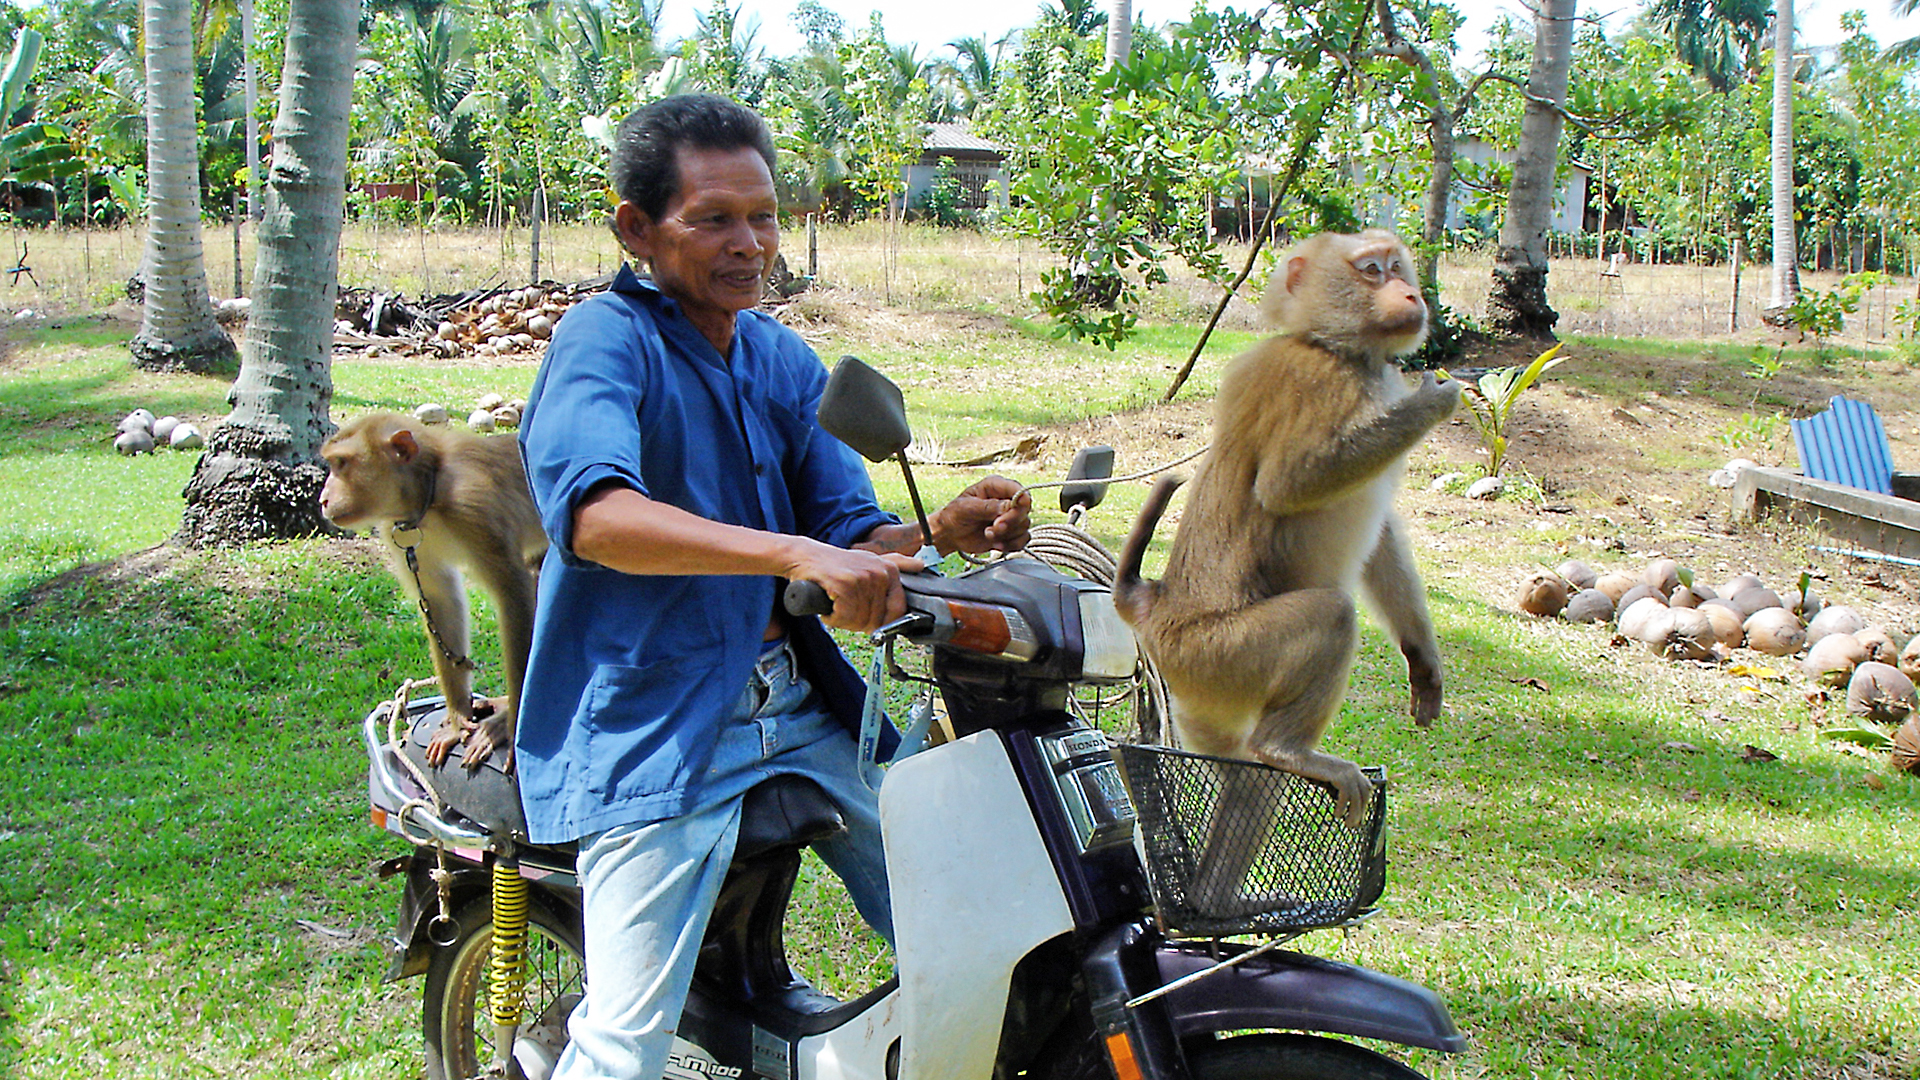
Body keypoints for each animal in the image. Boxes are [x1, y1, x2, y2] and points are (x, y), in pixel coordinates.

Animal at [320, 412, 547, 773]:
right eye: (332, 464)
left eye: (342, 464)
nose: (323, 499)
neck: (431, 492)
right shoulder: (397, 529)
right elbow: (440, 600)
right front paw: (456, 719)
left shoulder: (473, 508)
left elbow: (514, 595)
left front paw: (512, 729)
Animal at [1112, 229, 1457, 910]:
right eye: (1371, 271)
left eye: (1397, 267)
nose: (1410, 295)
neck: (1340, 350)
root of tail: (1154, 604)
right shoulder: (1318, 382)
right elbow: (1288, 484)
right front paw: (1434, 398)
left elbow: (1381, 541)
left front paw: (1422, 660)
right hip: (1217, 654)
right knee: (1331, 617)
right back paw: (1287, 751)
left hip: (1202, 693)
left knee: (1249, 775)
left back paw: (1213, 898)